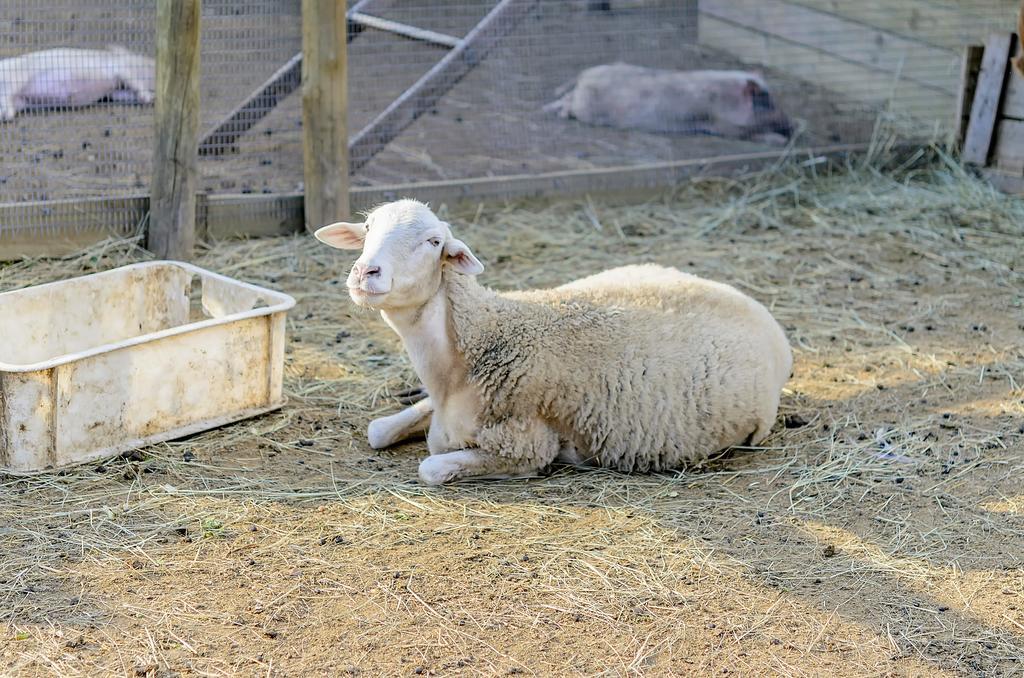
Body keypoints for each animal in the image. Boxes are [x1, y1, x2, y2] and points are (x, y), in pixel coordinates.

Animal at [315, 199, 794, 485]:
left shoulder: (526, 445)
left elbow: (431, 466)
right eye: (367, 228)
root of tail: (759, 309)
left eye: (433, 242)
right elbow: (379, 430)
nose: (365, 272)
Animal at [548, 62, 794, 145]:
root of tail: (585, 74)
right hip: (584, 107)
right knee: (567, 104)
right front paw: (779, 140)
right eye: (768, 104)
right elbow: (750, 134)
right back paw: (558, 113)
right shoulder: (724, 126)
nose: (792, 127)